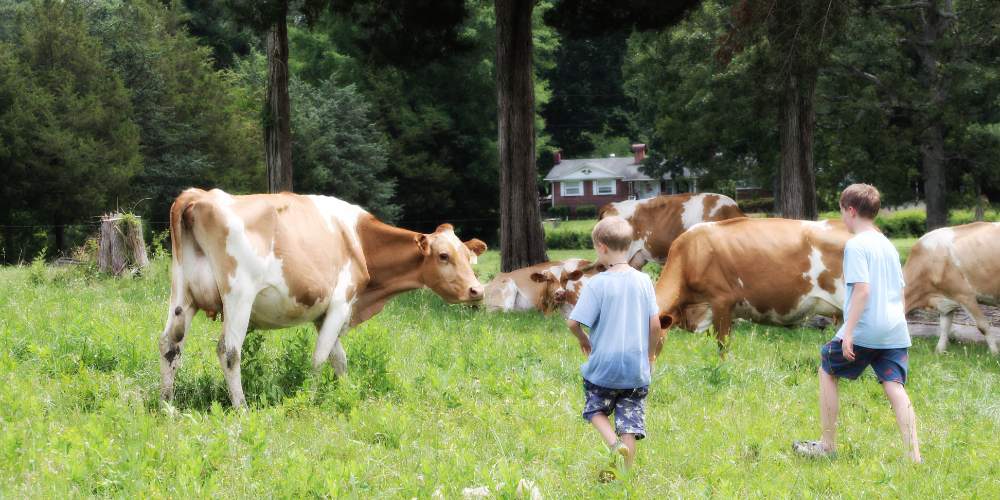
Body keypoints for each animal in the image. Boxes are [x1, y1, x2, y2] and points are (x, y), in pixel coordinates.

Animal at [158, 188, 486, 406]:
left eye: (468, 257)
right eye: (443, 256)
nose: (477, 290)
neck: (358, 238)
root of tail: (199, 195)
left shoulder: (323, 313)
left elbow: (338, 357)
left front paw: (346, 392)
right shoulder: (342, 302)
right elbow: (319, 358)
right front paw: (311, 399)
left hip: (182, 294)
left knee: (170, 344)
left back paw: (166, 404)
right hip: (239, 295)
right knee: (229, 350)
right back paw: (241, 407)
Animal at [904, 221, 996, 354]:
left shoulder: (965, 295)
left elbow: (983, 326)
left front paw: (994, 353)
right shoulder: (946, 299)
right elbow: (944, 327)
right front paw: (939, 351)